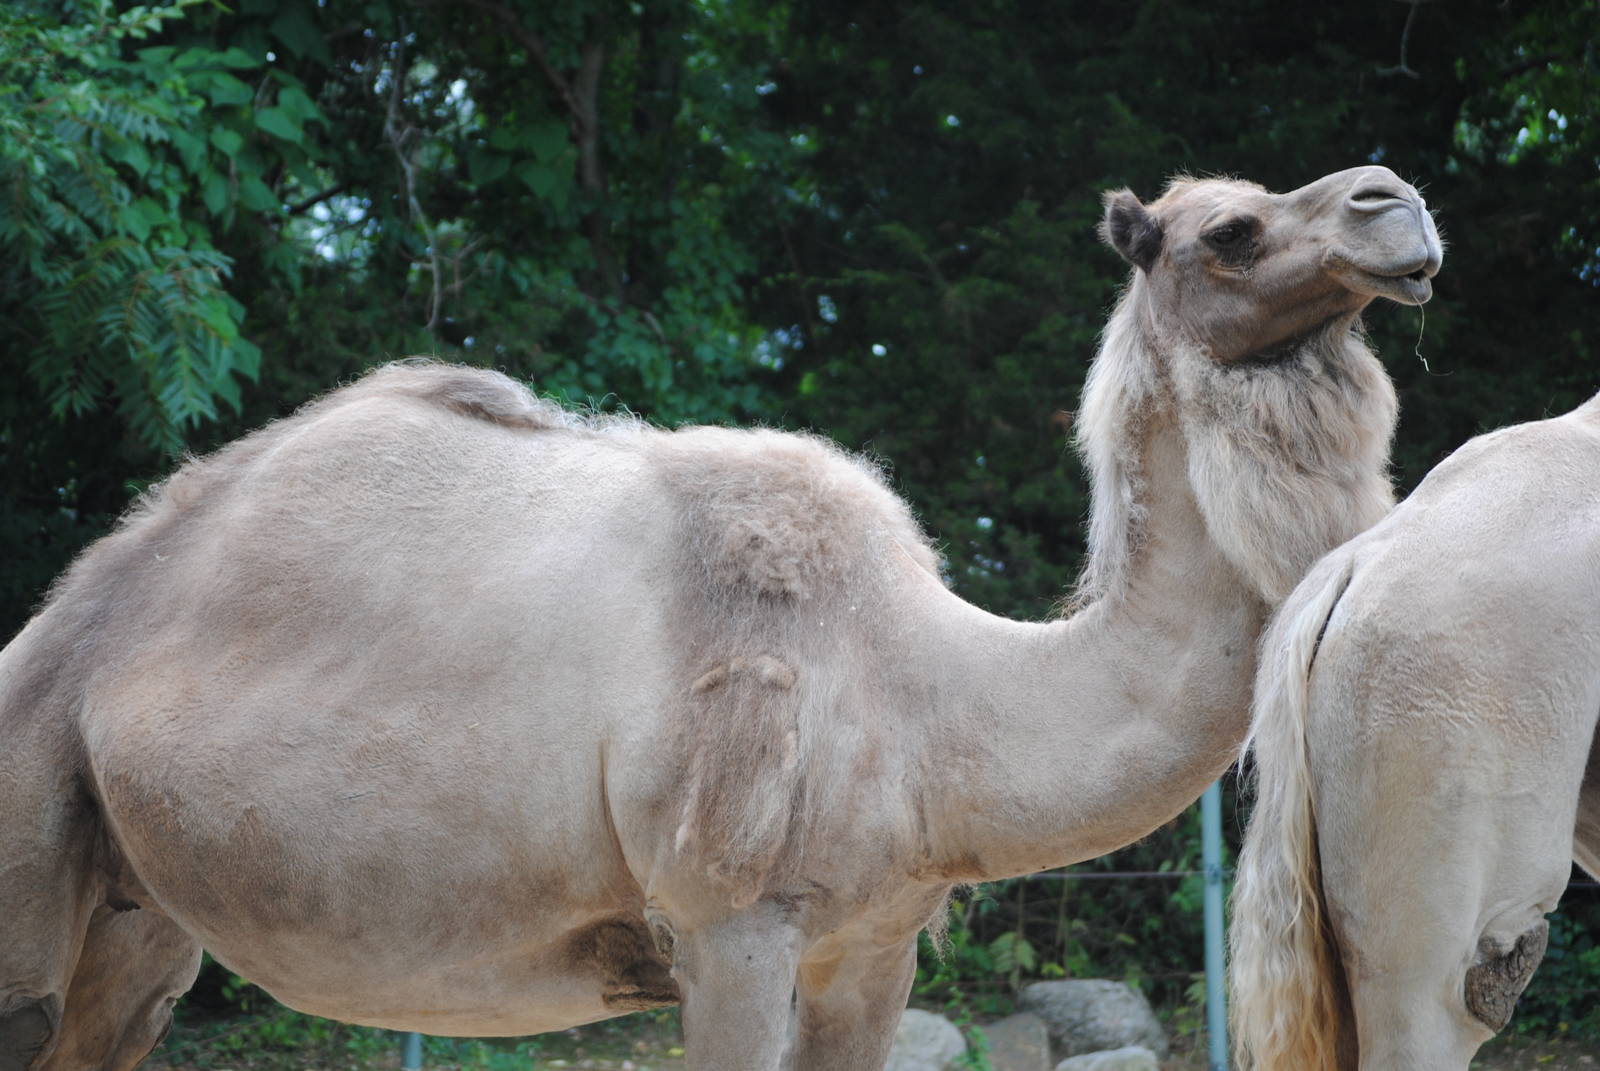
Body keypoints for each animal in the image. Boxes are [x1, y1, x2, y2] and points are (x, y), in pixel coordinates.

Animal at [0, 165, 1440, 1071]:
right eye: (1229, 230)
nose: (1396, 201)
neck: (935, 687)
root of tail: (63, 625)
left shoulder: (875, 937)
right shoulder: (728, 915)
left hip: (140, 916)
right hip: (28, 818)